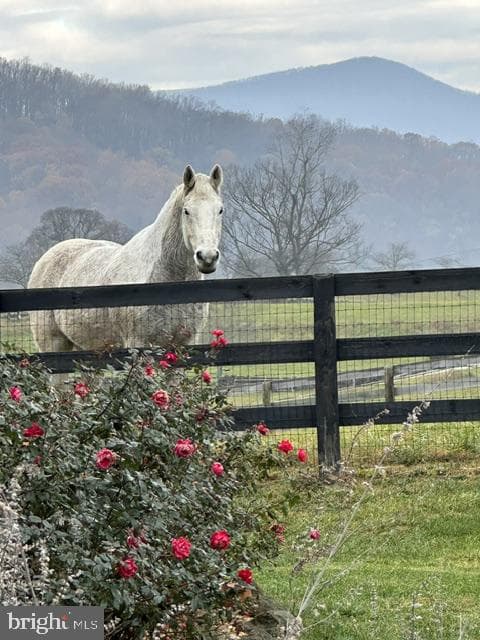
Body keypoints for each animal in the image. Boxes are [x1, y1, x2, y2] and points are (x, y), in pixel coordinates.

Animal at [27, 165, 224, 353]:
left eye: (220, 210)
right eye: (186, 211)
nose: (207, 257)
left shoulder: (184, 343)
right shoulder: (138, 342)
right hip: (54, 343)